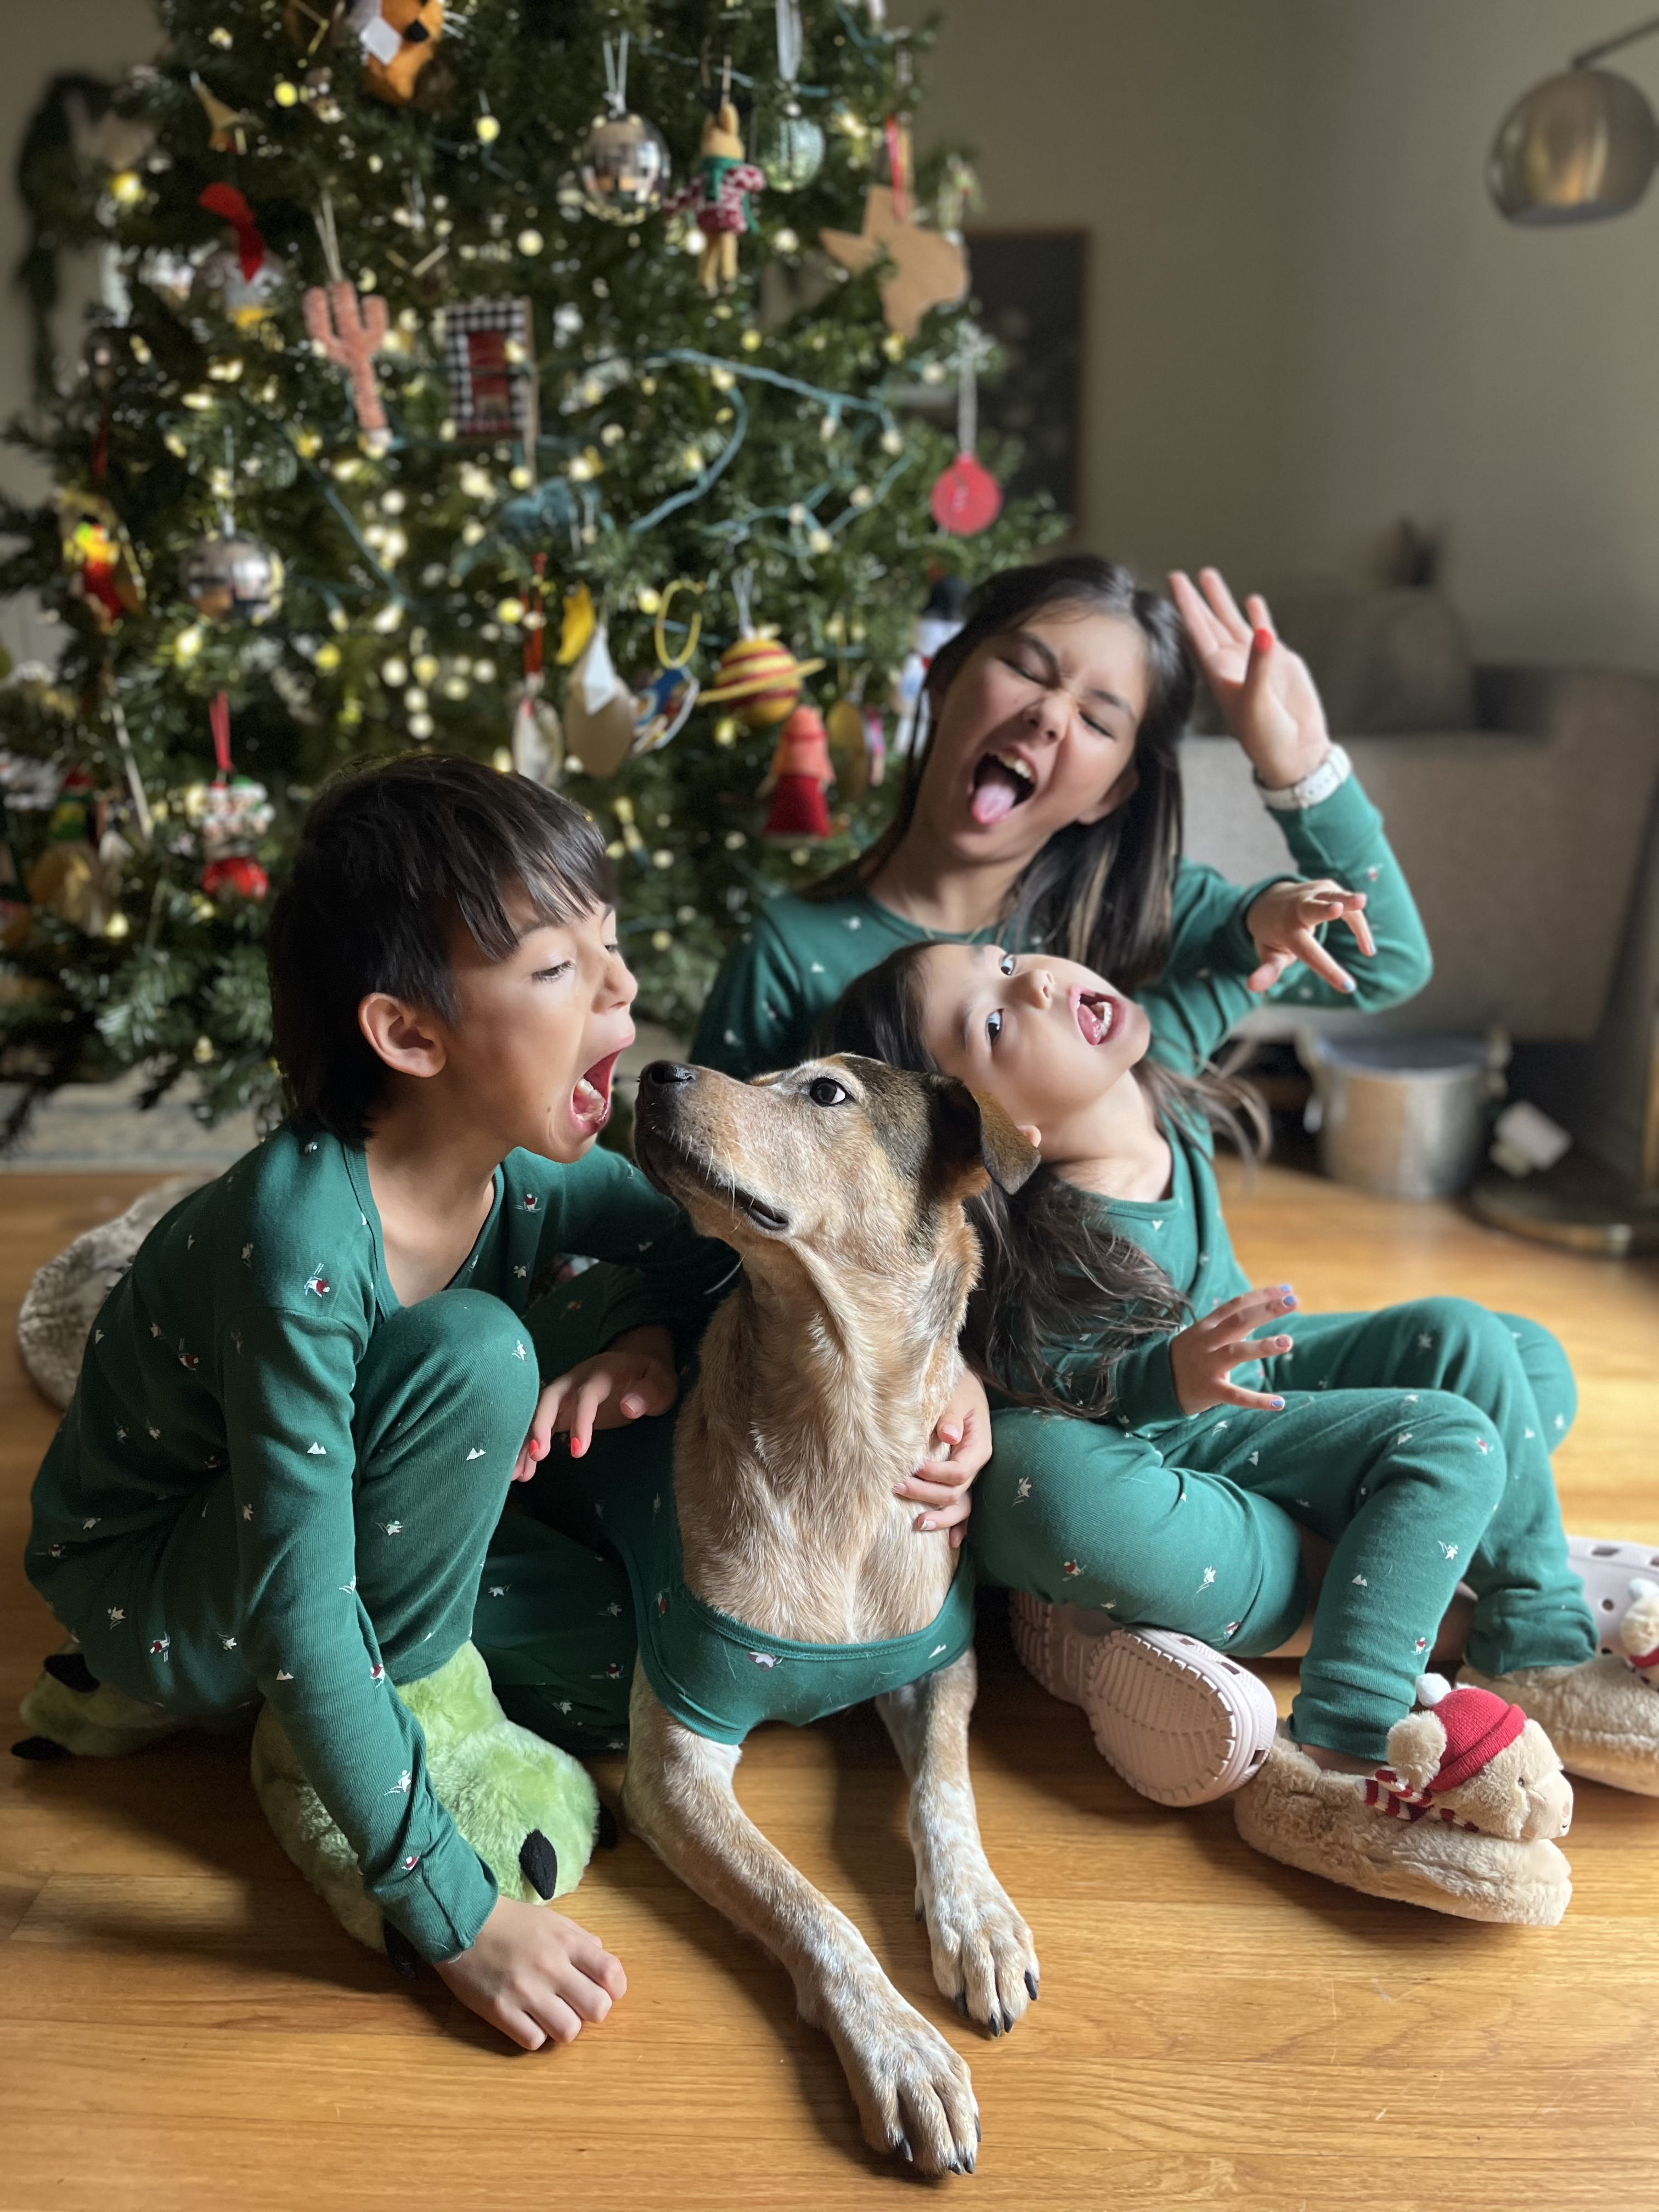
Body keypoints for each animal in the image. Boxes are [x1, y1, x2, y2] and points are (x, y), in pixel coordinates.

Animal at [624, 1053, 1040, 2176]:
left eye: (823, 1094)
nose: (652, 1067)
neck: (842, 1424)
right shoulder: (674, 1760)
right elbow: (812, 1910)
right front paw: (902, 2050)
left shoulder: (937, 1665)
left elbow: (944, 1794)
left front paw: (978, 1918)